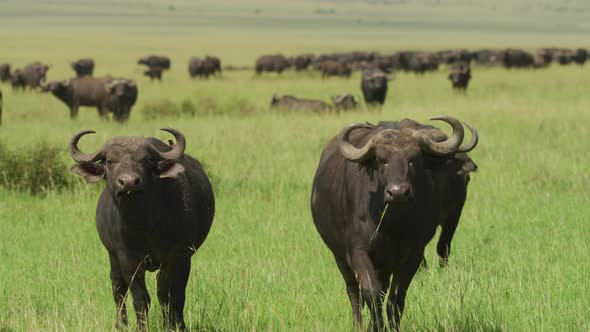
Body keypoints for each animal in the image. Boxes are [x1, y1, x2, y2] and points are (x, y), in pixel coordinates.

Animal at [69, 128, 216, 330]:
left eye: (145, 160)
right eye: (109, 161)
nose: (129, 182)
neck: (144, 224)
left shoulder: (179, 257)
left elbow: (171, 296)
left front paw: (175, 325)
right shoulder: (129, 261)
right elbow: (140, 298)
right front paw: (142, 326)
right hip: (112, 256)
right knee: (118, 288)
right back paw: (121, 324)